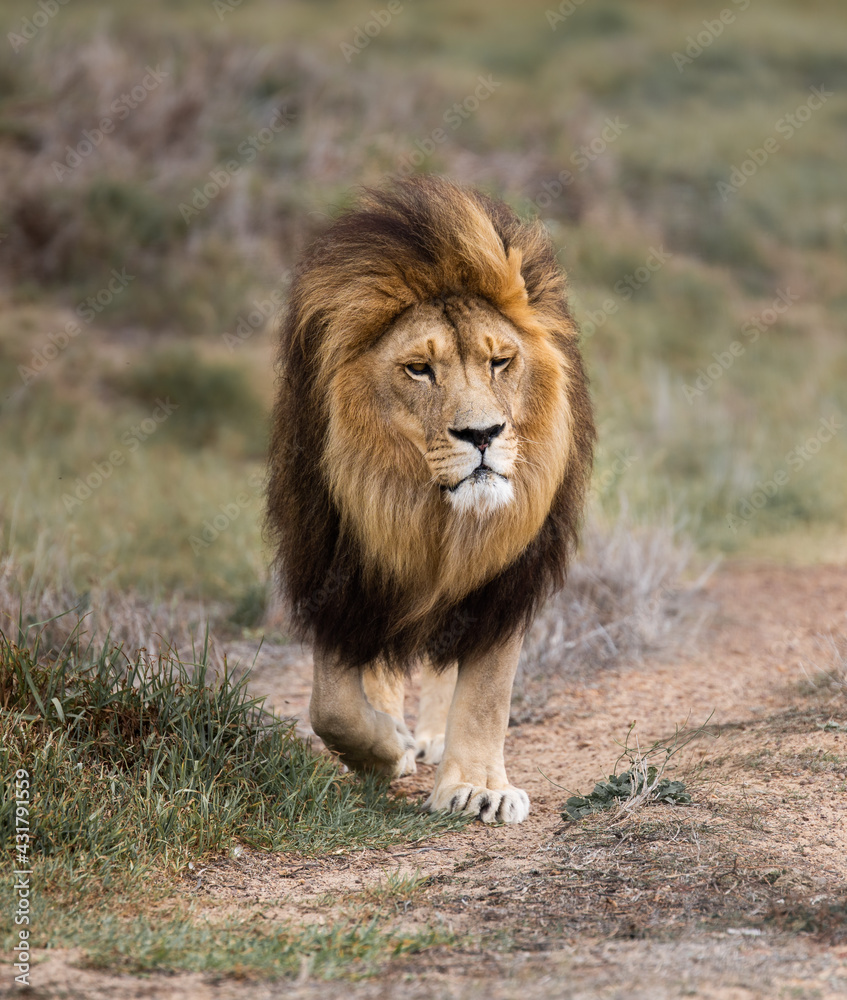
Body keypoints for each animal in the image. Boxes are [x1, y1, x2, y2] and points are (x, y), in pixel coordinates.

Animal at [267, 176, 594, 824]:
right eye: (419, 369)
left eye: (500, 361)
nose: (483, 434)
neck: (425, 512)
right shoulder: (339, 570)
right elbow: (331, 704)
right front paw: (384, 751)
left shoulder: (504, 580)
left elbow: (486, 690)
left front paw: (477, 787)